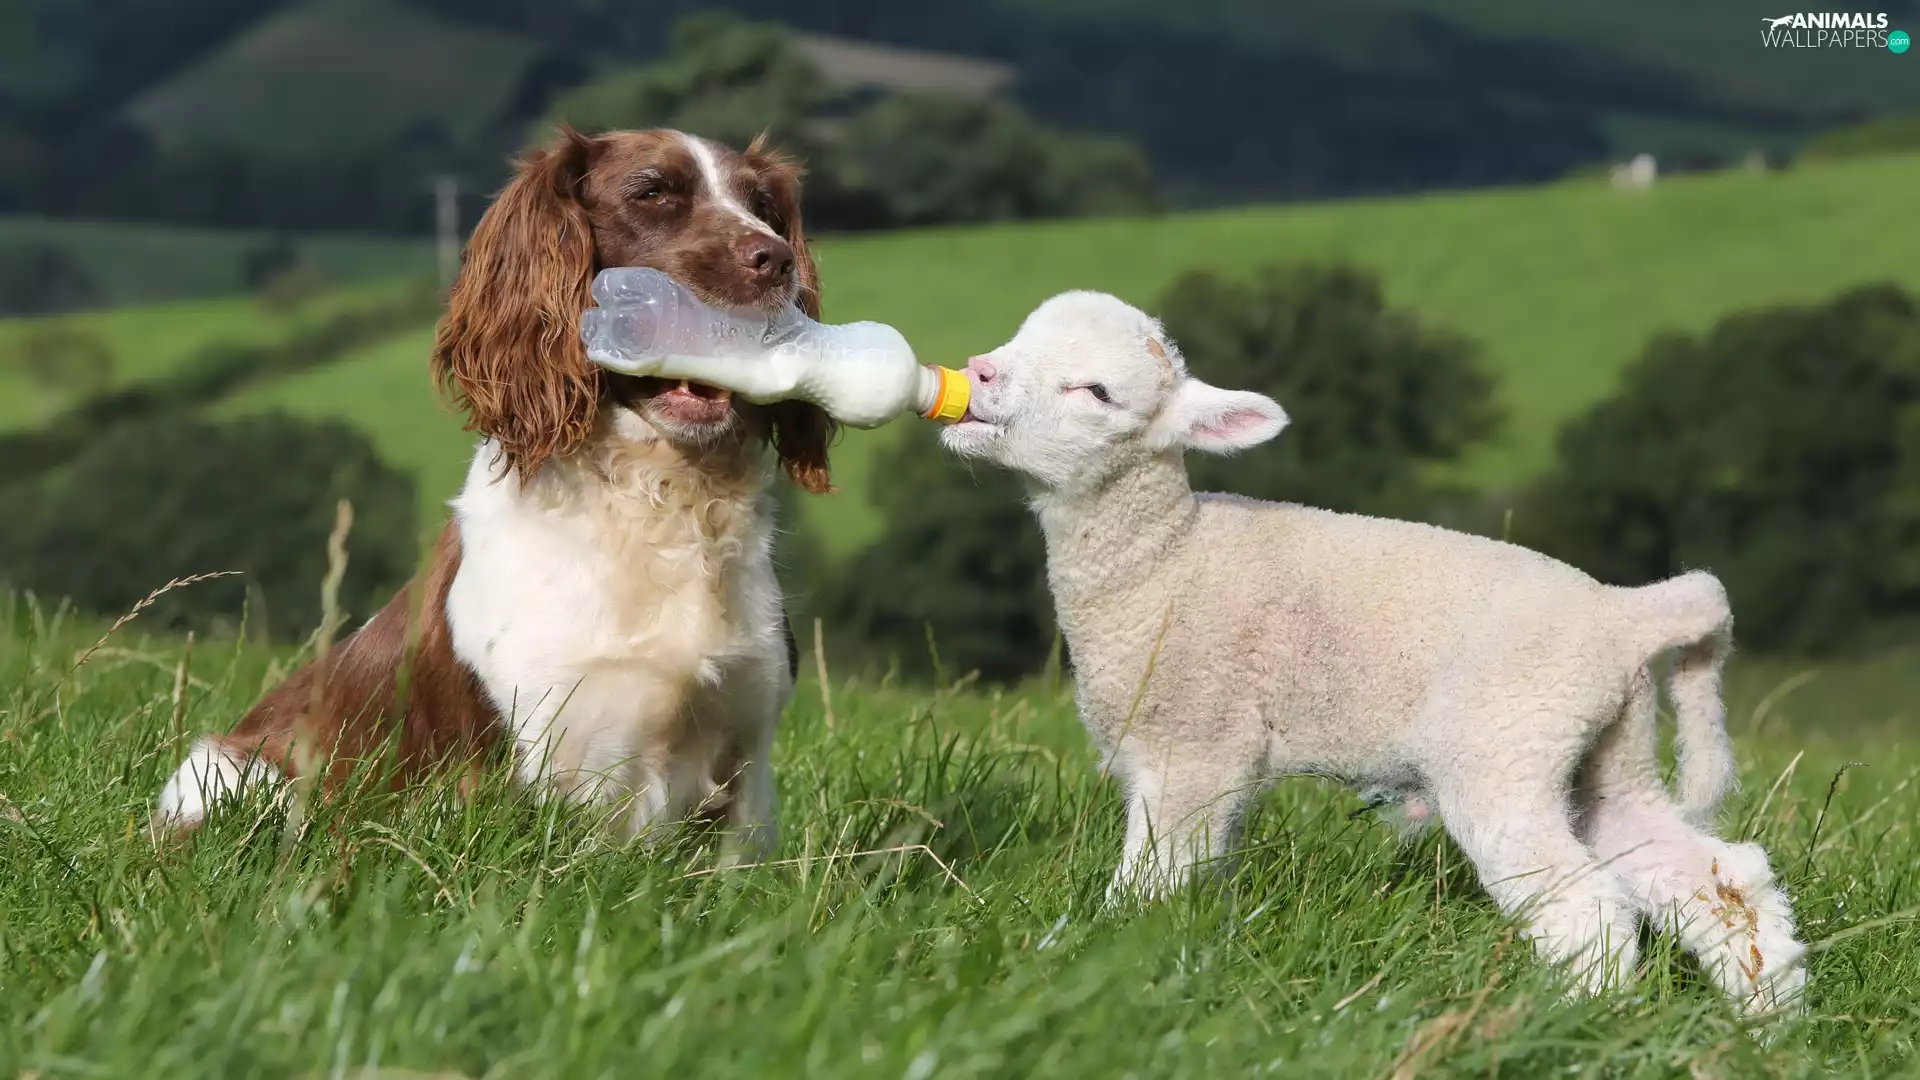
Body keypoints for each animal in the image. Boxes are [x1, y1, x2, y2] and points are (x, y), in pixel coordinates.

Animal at [941, 290, 1807, 1013]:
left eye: (1095, 393)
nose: (979, 372)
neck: (1166, 560)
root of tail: (1625, 615)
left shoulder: (1196, 746)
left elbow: (1154, 877)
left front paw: (1105, 957)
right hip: (1606, 754)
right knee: (1719, 879)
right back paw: (1768, 1021)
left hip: (1504, 748)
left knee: (1585, 905)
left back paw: (1575, 1020)